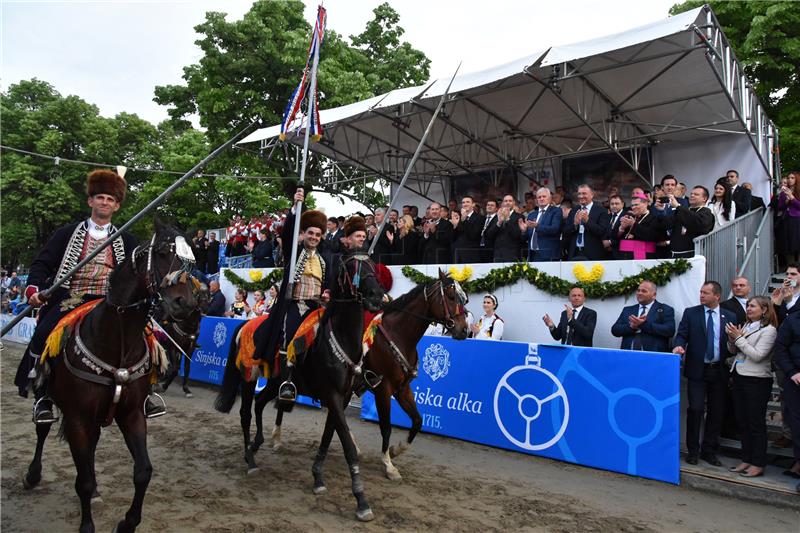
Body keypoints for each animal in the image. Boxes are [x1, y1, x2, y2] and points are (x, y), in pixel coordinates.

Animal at [22, 220, 200, 532]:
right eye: (163, 253)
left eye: (191, 262)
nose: (185, 305)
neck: (116, 341)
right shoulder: (78, 418)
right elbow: (82, 479)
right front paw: (87, 525)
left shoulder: (132, 414)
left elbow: (143, 471)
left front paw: (128, 522)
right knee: (43, 430)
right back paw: (33, 474)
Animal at [216, 249, 384, 520]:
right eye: (353, 268)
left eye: (371, 264)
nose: (377, 297)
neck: (341, 338)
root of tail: (246, 324)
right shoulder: (332, 395)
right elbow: (346, 444)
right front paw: (361, 500)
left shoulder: (342, 398)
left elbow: (328, 435)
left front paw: (318, 477)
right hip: (249, 377)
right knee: (245, 413)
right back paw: (250, 460)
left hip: (275, 381)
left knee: (260, 404)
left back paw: (256, 444)